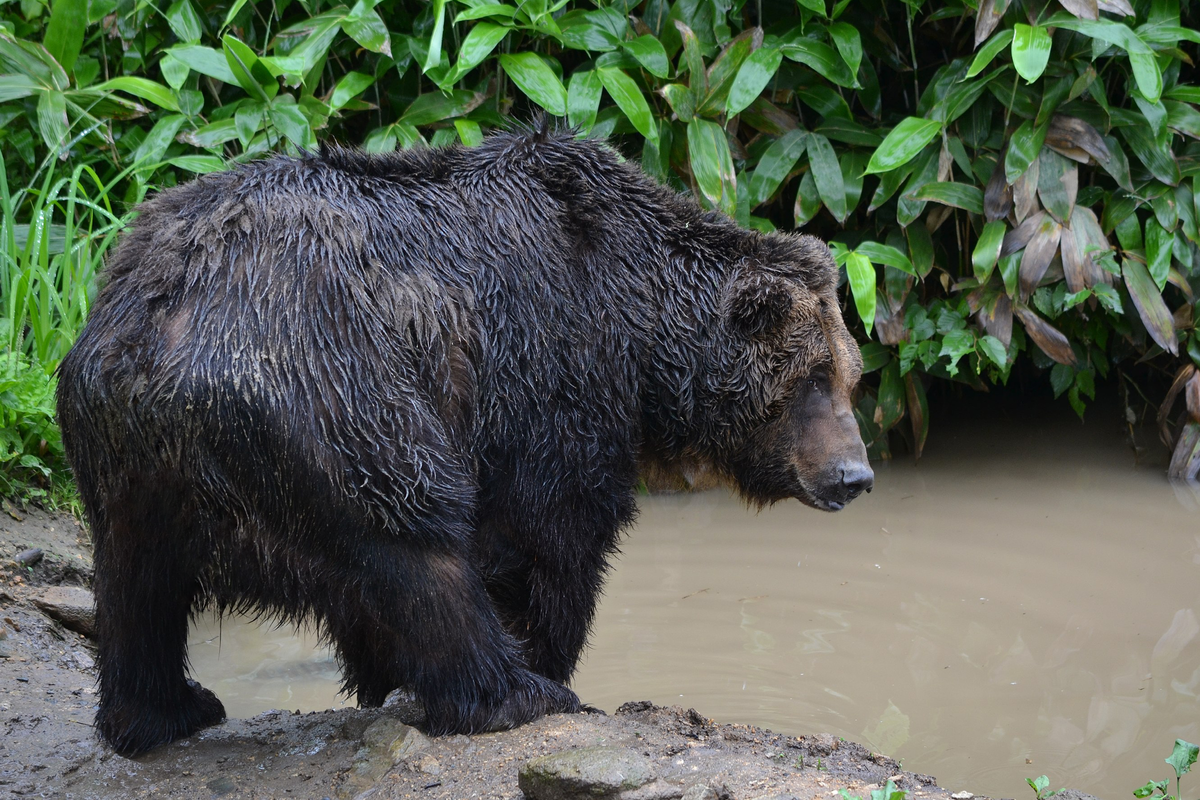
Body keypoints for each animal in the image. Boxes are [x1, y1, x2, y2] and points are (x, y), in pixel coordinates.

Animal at [56, 126, 873, 758]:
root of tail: (157, 339)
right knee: (414, 542)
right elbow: (554, 533)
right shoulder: (552, 369)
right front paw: (550, 660)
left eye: (849, 377)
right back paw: (513, 692)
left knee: (135, 583)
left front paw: (382, 679)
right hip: (331, 387)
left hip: (123, 456)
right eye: (812, 379)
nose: (854, 476)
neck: (643, 333)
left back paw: (165, 709)